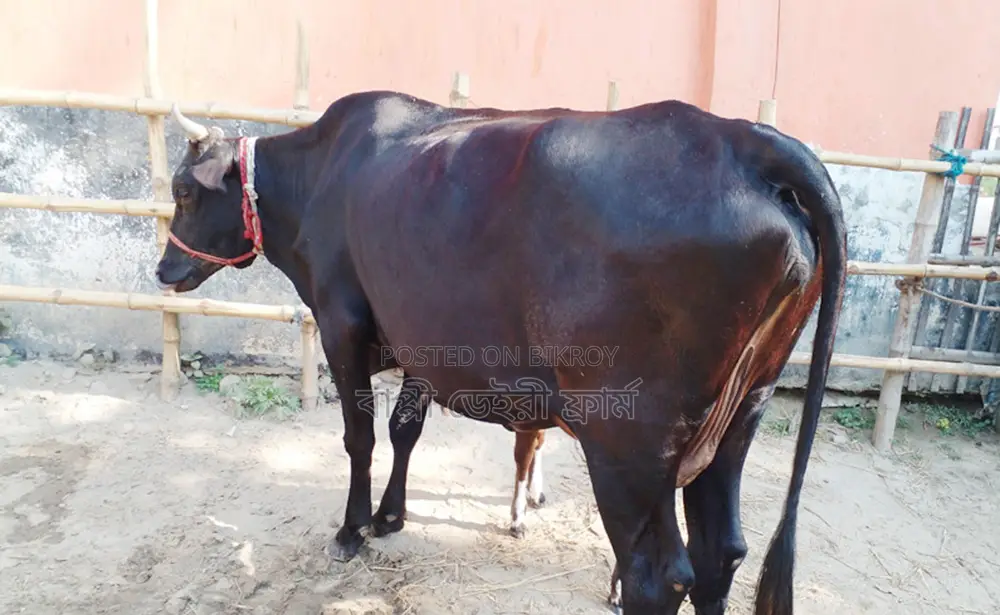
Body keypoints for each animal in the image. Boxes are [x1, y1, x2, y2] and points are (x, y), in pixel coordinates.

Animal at [154, 92, 846, 615]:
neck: (320, 174)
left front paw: (352, 529)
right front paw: (391, 516)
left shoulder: (342, 324)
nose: (163, 270)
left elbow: (360, 436)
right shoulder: (424, 336)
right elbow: (405, 429)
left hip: (628, 435)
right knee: (719, 552)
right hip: (741, 411)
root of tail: (742, 139)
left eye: (184, 191)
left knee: (656, 574)